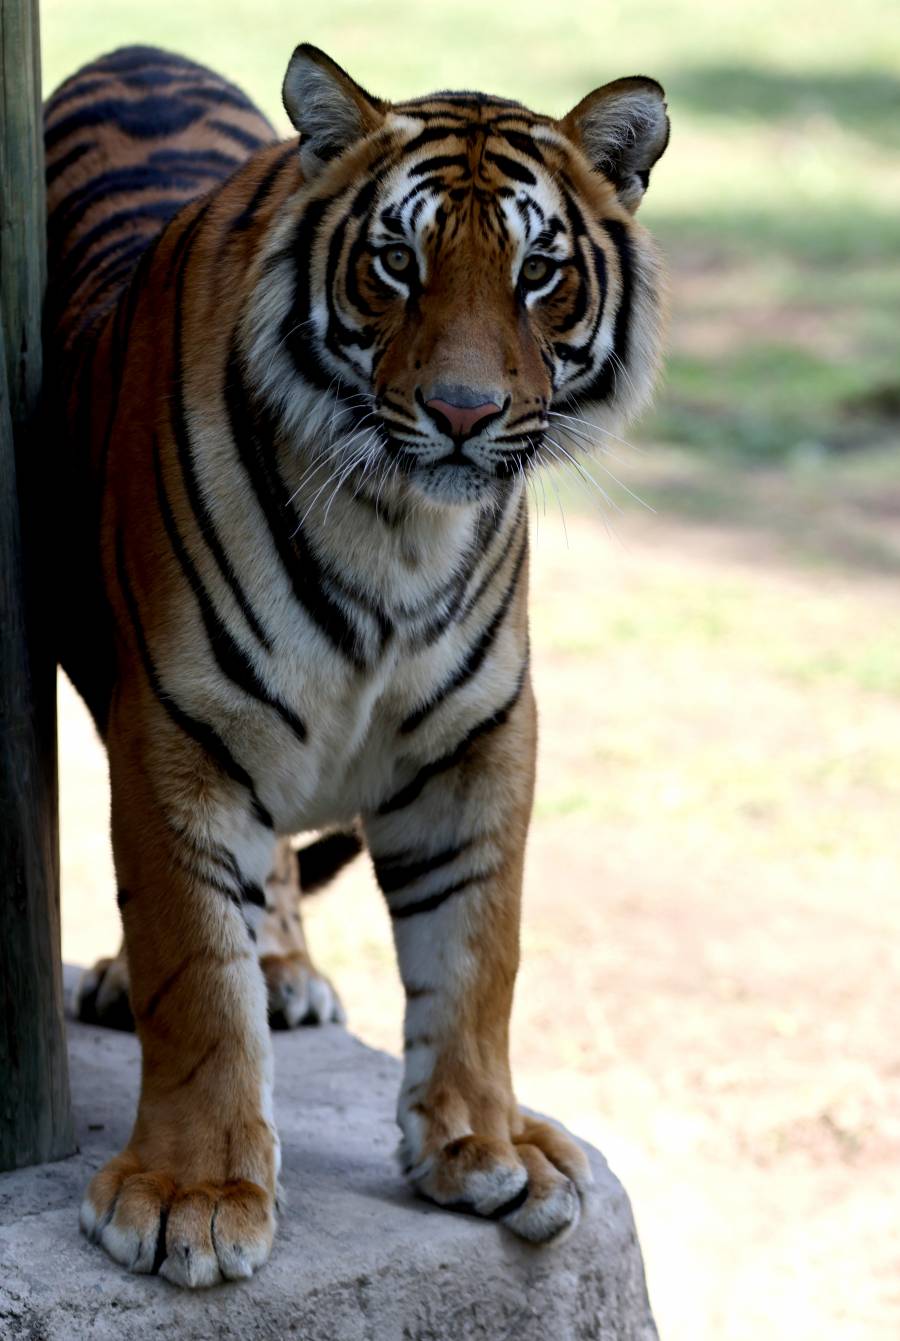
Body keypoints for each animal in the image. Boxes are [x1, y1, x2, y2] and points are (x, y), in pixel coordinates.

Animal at [44, 42, 669, 1287]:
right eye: (396, 263)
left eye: (538, 272)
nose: (465, 413)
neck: (397, 526)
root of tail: (134, 51)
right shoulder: (179, 725)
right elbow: (194, 971)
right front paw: (190, 1195)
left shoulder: (480, 732)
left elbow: (477, 954)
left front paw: (487, 1145)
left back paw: (283, 969)